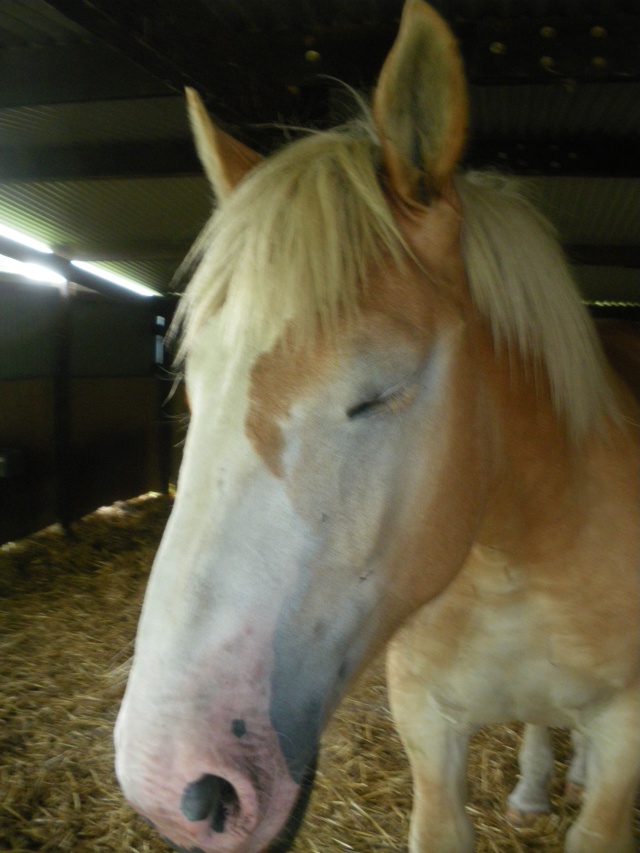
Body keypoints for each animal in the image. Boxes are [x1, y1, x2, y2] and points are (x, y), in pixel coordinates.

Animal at [115, 3, 640, 848]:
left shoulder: (628, 731)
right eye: (193, 382)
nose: (177, 789)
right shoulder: (428, 726)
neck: (511, 559)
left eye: (379, 392)